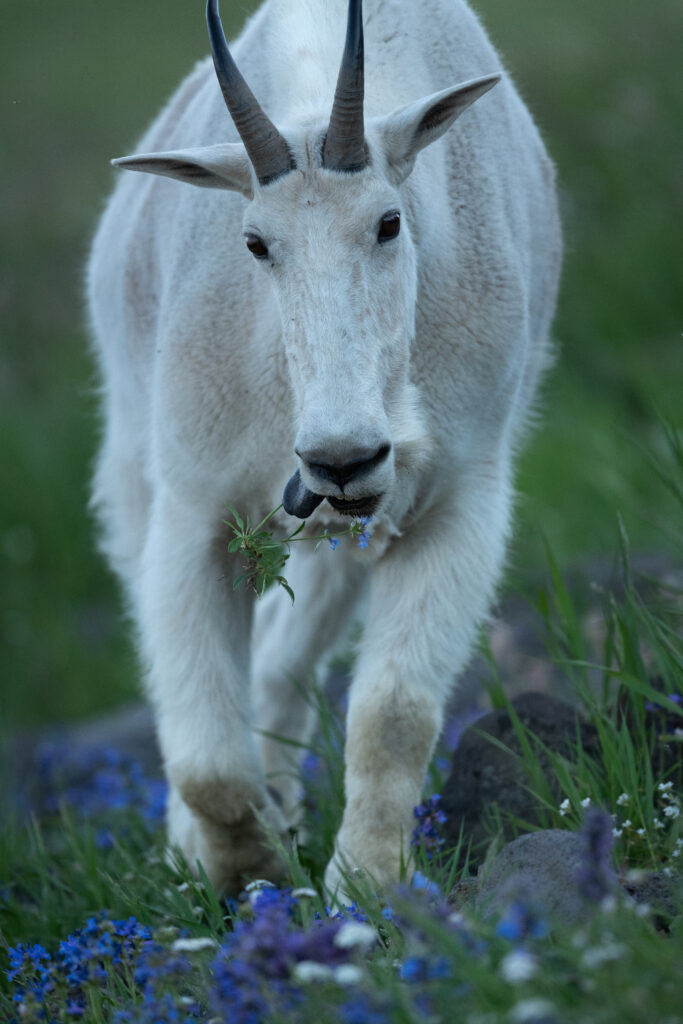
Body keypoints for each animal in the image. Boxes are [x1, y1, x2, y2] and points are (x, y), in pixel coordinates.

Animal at [88, 0, 561, 897]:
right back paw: (193, 849)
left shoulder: (455, 500)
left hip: (339, 536)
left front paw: (364, 886)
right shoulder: (194, 508)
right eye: (254, 243)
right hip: (137, 464)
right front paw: (247, 876)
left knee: (279, 660)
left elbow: (392, 714)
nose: (342, 458)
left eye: (387, 222)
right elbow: (205, 759)